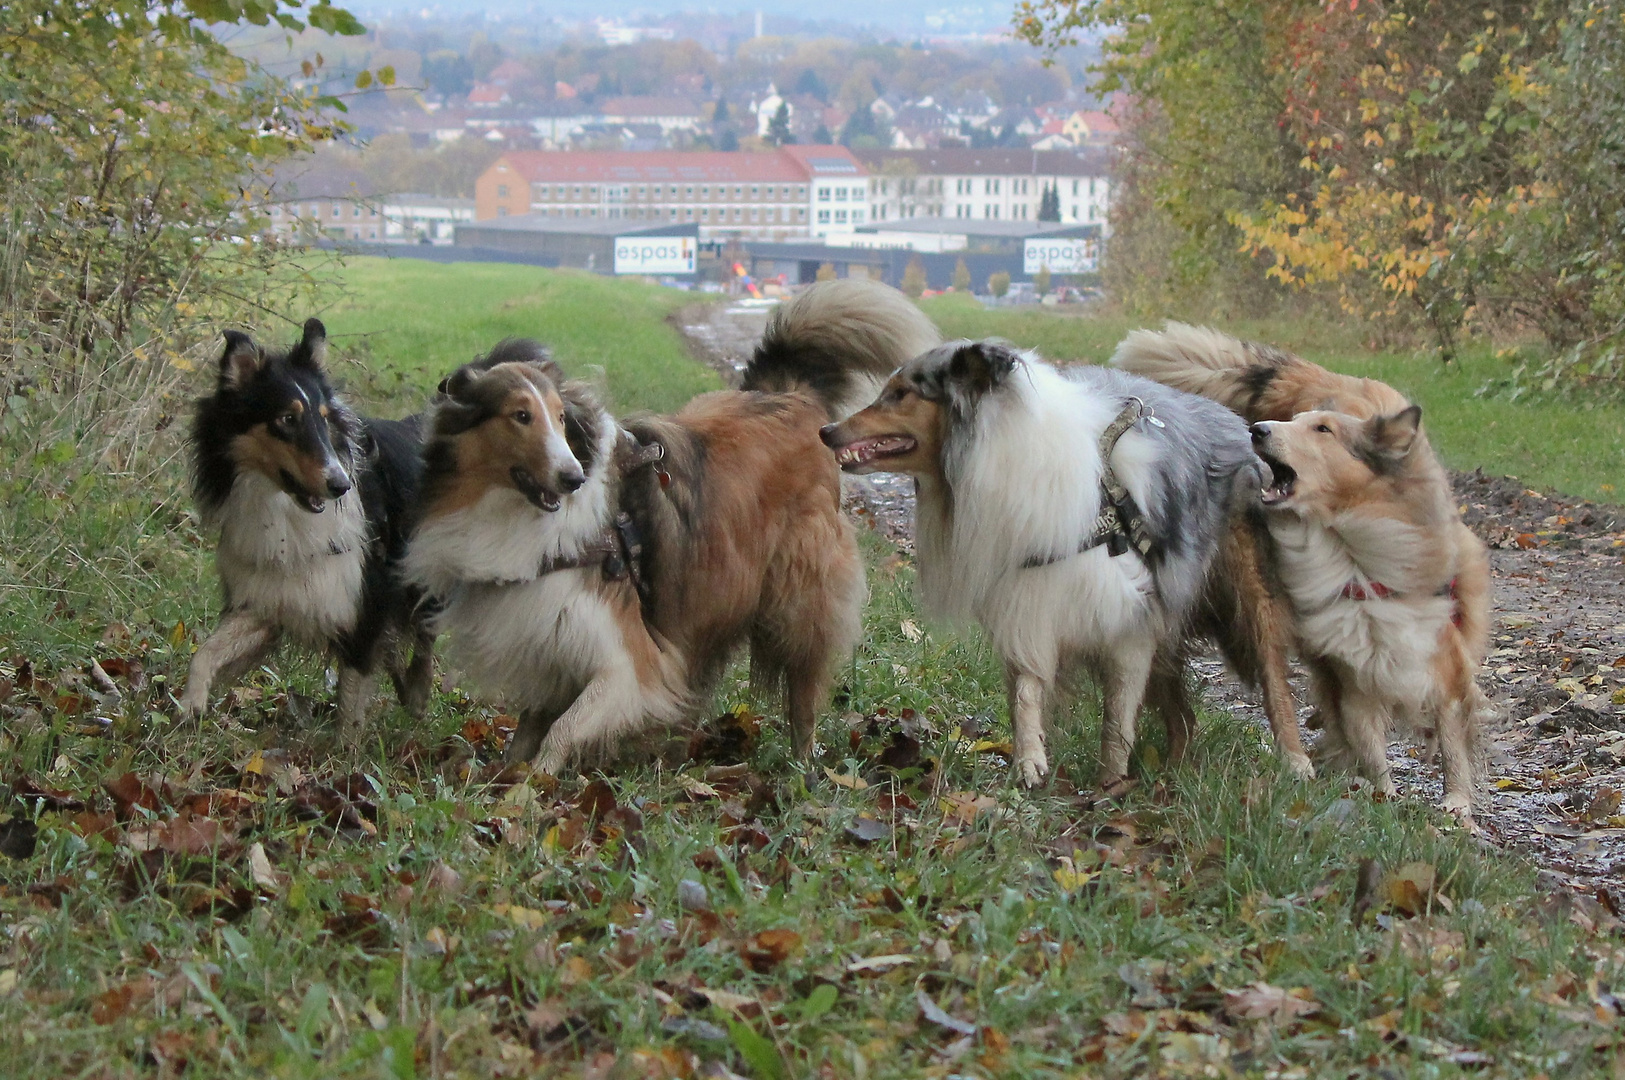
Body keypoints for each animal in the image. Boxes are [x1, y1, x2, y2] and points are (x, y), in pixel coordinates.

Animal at [180, 316, 435, 727]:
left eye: (325, 419)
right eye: (287, 419)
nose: (340, 485)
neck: (286, 512)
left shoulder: (365, 607)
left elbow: (350, 705)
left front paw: (346, 743)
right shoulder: (266, 600)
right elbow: (205, 652)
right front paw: (191, 704)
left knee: (426, 637)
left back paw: (417, 692)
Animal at [399, 277, 936, 776]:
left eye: (560, 418)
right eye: (520, 416)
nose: (573, 478)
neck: (521, 517)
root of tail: (792, 396)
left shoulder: (628, 661)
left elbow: (564, 727)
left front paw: (535, 788)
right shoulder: (551, 640)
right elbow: (531, 728)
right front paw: (508, 779)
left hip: (799, 597)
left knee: (802, 692)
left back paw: (800, 766)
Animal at [819, 341, 1261, 789]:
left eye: (900, 394)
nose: (826, 431)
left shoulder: (1130, 626)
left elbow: (1117, 720)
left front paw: (1110, 785)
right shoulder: (1029, 607)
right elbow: (1025, 694)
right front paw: (1030, 763)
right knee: (1183, 718)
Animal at [1111, 321, 1488, 818]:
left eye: (1324, 430)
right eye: (1298, 425)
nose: (1257, 430)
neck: (1351, 554)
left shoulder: (1441, 663)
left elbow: (1452, 742)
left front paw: (1458, 806)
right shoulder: (1349, 673)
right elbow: (1371, 747)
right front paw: (1383, 800)